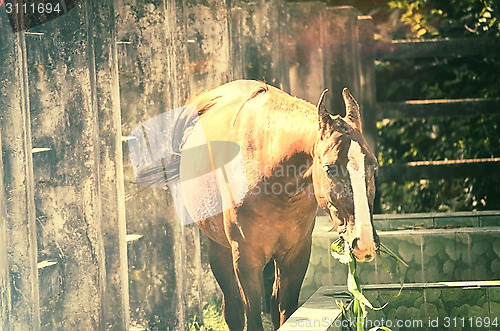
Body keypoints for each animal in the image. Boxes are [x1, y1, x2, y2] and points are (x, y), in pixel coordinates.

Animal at [173, 81, 378, 331]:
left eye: (374, 164)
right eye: (329, 168)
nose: (364, 242)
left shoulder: (296, 255)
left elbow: (286, 312)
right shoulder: (246, 260)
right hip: (219, 249)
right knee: (232, 309)